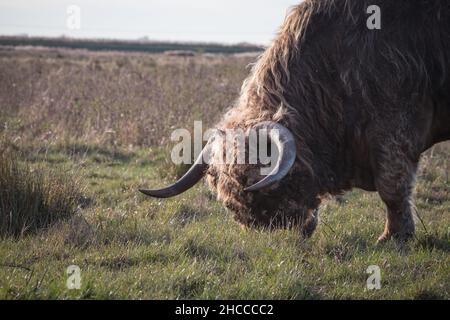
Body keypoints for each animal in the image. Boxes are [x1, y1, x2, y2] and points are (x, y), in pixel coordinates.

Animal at [142, 0, 450, 240]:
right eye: (232, 205)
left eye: (263, 187)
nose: (274, 232)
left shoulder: (394, 122)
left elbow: (392, 186)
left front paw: (394, 237)